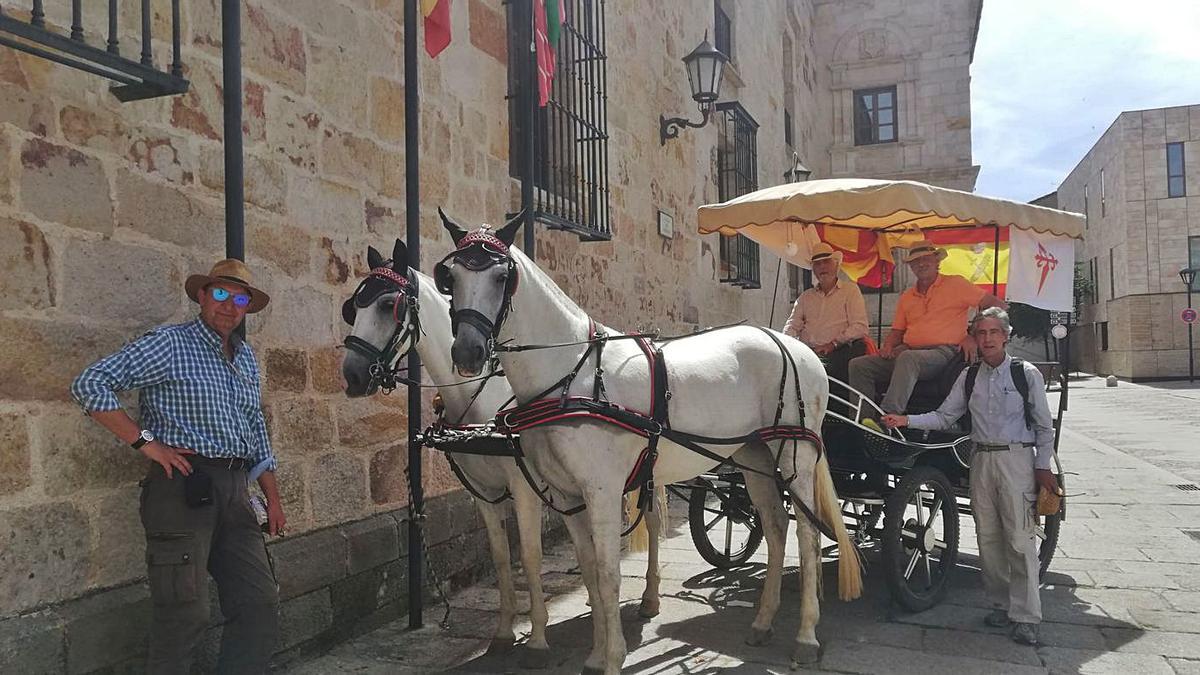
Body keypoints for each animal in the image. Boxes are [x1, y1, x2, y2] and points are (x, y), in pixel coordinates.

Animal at [343, 237, 672, 662]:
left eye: (388, 304)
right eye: (354, 306)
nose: (351, 375)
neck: (481, 399)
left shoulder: (523, 487)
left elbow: (529, 554)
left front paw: (537, 634)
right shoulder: (482, 492)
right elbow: (501, 557)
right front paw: (503, 631)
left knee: (653, 522)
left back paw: (649, 597)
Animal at [441, 212, 864, 667]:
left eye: (502, 276)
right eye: (451, 277)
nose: (466, 353)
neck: (572, 373)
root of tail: (797, 348)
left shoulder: (602, 490)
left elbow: (608, 572)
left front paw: (612, 657)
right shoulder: (567, 494)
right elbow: (589, 569)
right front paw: (596, 654)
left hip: (795, 457)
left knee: (807, 537)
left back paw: (806, 636)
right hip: (755, 455)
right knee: (776, 526)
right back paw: (763, 621)